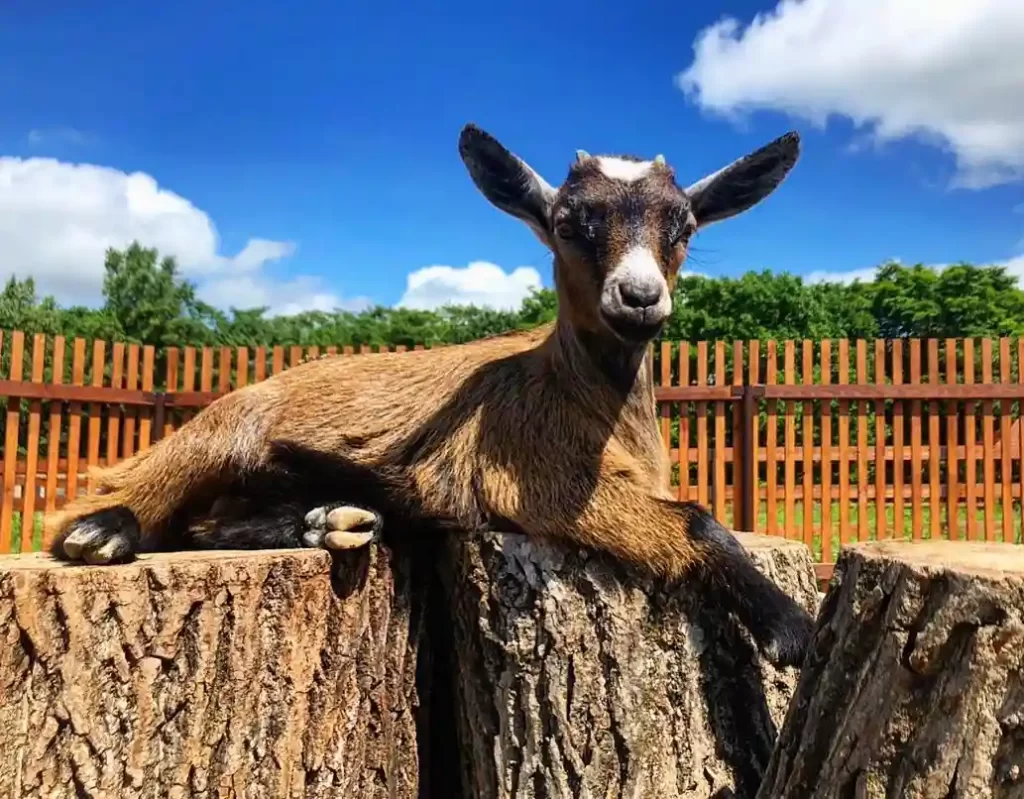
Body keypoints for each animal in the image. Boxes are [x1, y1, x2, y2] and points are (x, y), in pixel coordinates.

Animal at [45, 123, 814, 668]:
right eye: (569, 224)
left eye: (683, 226)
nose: (640, 297)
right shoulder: (538, 477)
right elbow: (697, 520)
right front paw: (790, 628)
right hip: (217, 432)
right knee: (112, 500)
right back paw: (102, 533)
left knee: (206, 526)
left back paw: (331, 521)